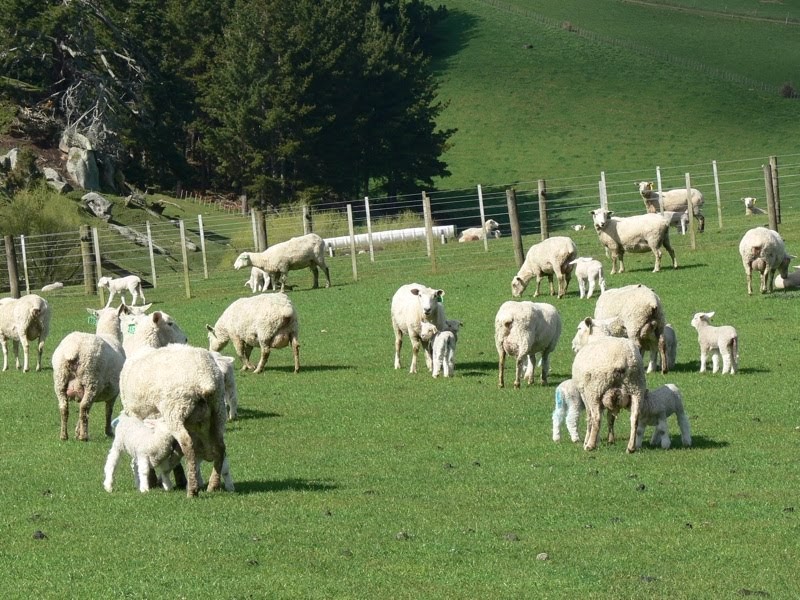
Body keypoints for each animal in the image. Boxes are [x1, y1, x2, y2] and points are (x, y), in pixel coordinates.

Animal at [52, 304, 130, 441]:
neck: (109, 333)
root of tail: (73, 349)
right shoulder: (113, 392)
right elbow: (108, 411)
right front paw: (108, 431)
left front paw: (77, 432)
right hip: (91, 380)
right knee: (84, 407)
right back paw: (84, 436)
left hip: (60, 380)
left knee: (64, 407)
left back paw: (64, 435)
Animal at [120, 344, 232, 497]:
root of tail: (205, 378)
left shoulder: (136, 415)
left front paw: (152, 479)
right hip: (218, 410)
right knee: (220, 446)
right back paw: (212, 485)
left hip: (175, 409)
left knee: (187, 444)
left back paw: (192, 490)